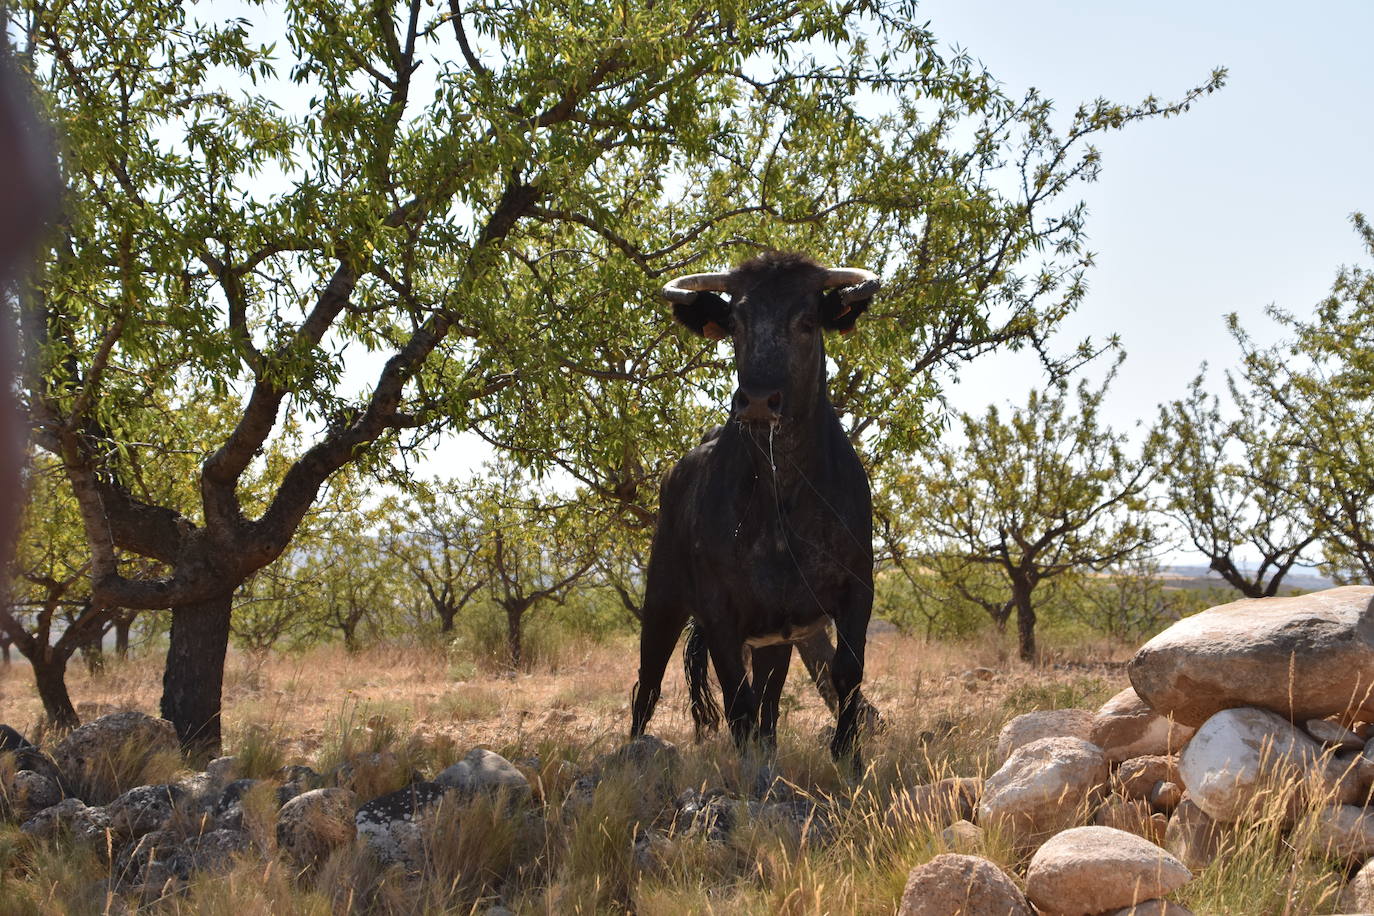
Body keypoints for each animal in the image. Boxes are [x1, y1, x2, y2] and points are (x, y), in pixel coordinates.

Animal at [629, 252, 879, 769]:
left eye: (807, 321)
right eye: (736, 324)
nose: (759, 400)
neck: (781, 496)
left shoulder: (856, 591)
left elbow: (846, 674)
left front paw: (849, 758)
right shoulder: (720, 613)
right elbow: (736, 700)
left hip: (773, 640)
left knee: (769, 700)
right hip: (661, 599)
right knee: (648, 685)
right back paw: (633, 752)